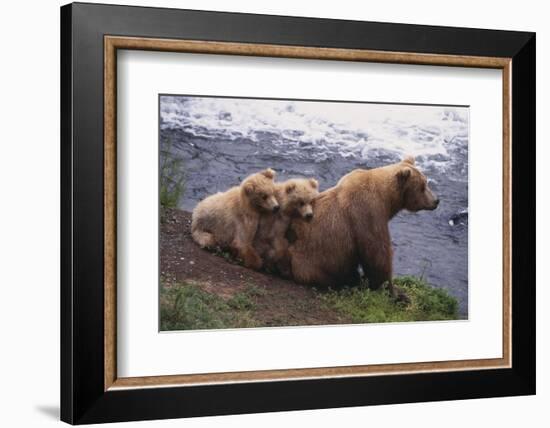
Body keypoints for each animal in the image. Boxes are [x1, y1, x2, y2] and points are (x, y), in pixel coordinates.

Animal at [288, 155, 440, 300]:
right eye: (422, 186)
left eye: (426, 182)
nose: (436, 201)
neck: (386, 200)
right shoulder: (367, 212)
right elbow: (377, 254)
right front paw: (396, 293)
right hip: (313, 263)